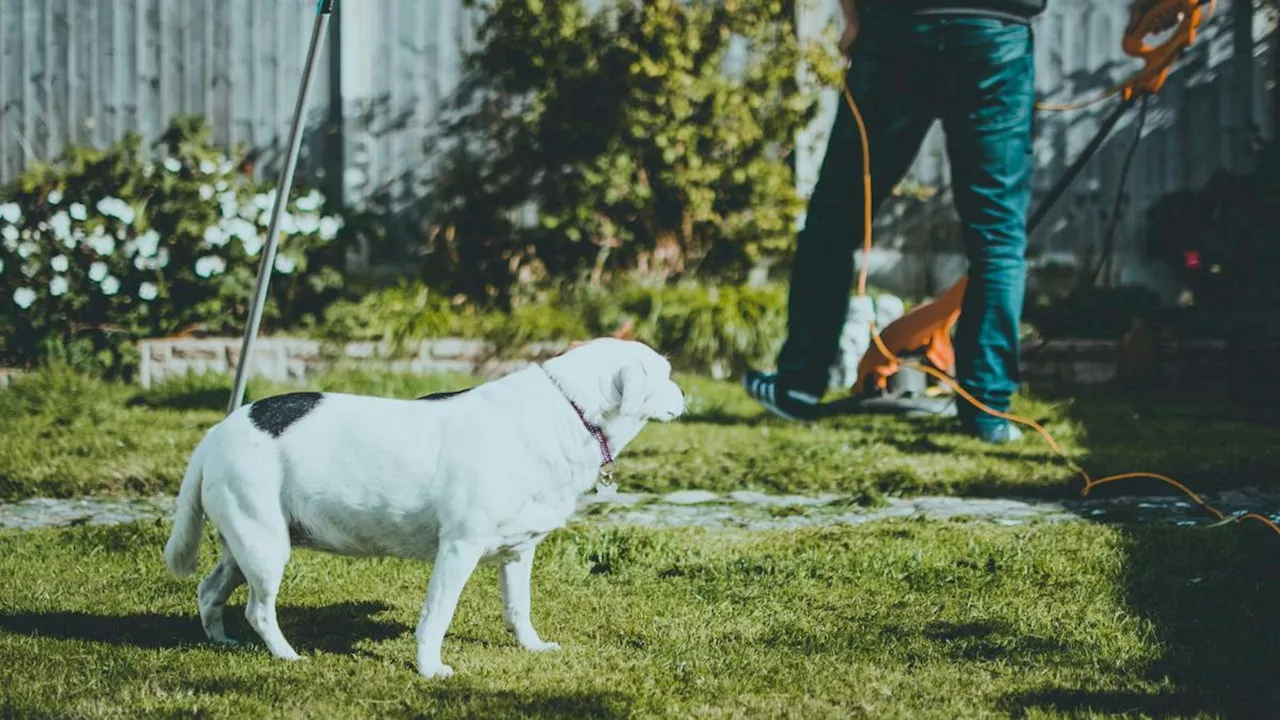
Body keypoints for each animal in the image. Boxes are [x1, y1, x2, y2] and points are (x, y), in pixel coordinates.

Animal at [163, 335, 686, 671]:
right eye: (665, 374)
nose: (685, 394)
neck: (568, 408)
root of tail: (216, 431)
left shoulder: (519, 553)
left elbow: (519, 608)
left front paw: (531, 647)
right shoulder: (459, 547)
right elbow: (437, 616)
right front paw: (431, 669)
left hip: (247, 543)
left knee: (210, 590)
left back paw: (222, 641)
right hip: (266, 544)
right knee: (258, 609)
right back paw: (287, 655)